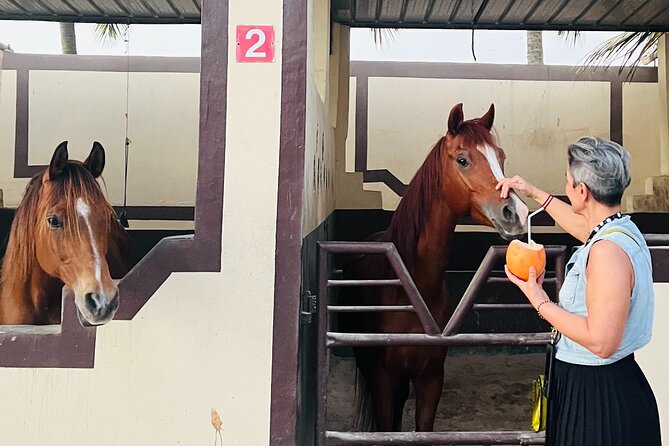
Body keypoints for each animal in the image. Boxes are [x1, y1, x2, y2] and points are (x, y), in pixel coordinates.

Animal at [340, 103, 529, 433]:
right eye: (463, 160)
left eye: (501, 157)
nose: (516, 212)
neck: (411, 289)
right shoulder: (383, 379)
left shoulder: (430, 377)